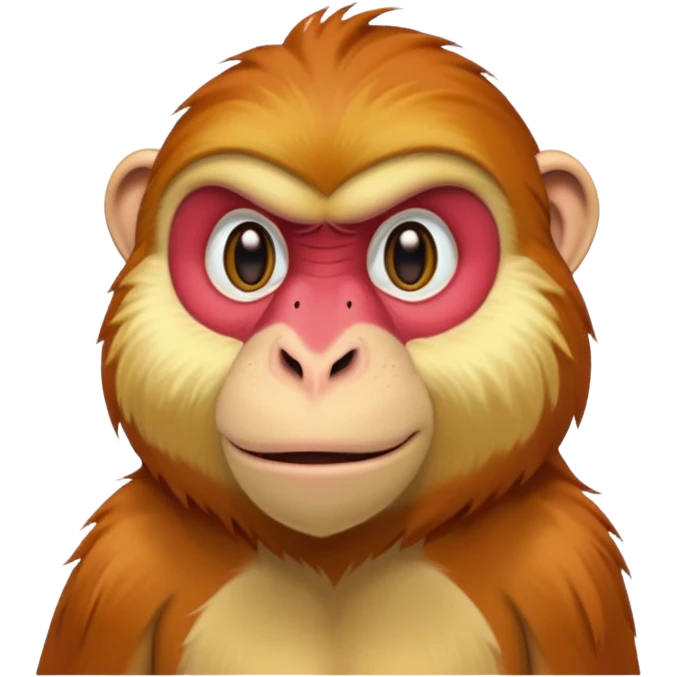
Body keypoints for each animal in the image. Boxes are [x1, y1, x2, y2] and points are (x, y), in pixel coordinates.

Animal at [38, 4, 639, 676]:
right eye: (248, 256)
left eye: (412, 256)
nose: (316, 361)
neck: (337, 563)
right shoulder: (120, 578)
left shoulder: (562, 569)